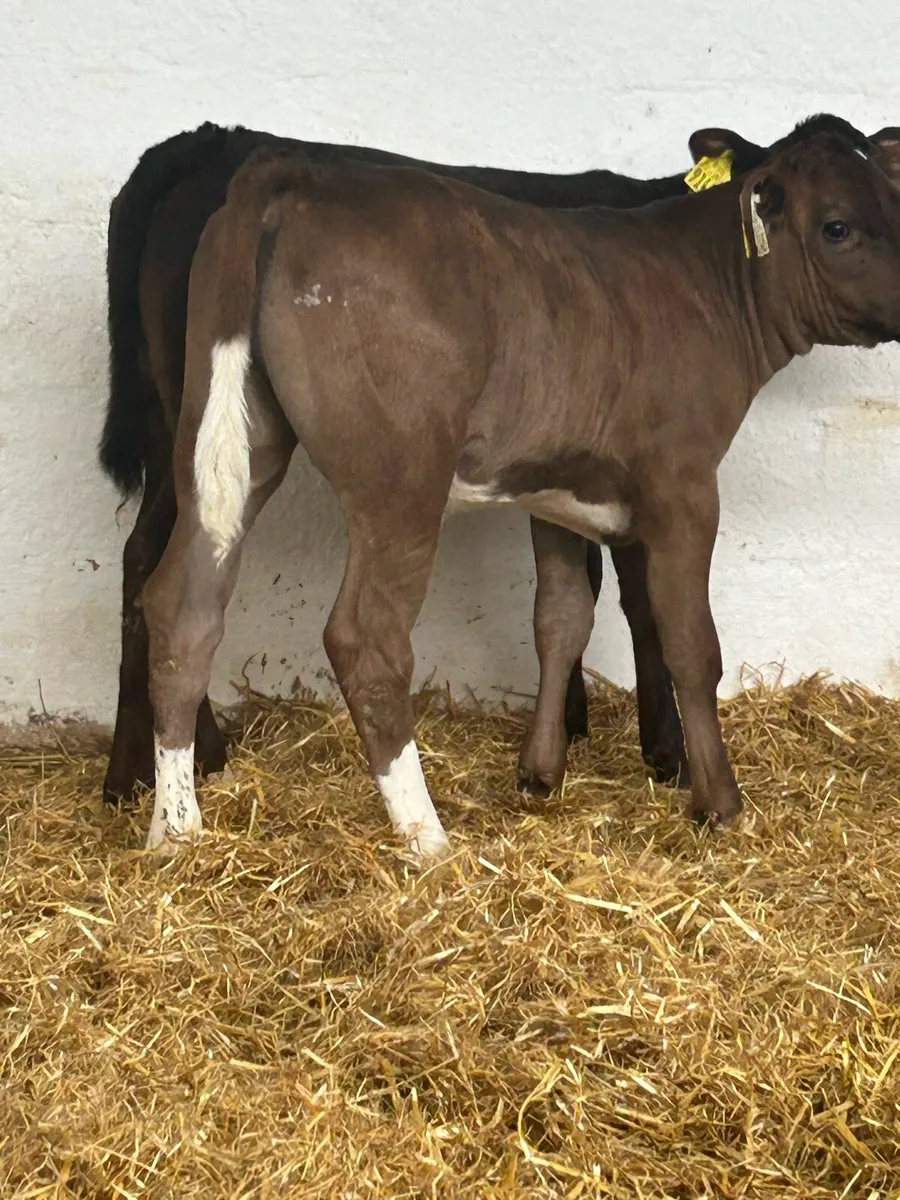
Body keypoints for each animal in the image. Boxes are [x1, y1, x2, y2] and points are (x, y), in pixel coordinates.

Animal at [136, 128, 900, 859]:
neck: (706, 282)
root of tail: (288, 169)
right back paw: (427, 838)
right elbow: (689, 644)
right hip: (401, 479)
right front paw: (719, 803)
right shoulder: (683, 485)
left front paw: (540, 773)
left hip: (229, 441)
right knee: (366, 637)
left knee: (183, 605)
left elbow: (561, 620)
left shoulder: (555, 489)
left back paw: (175, 832)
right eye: (837, 226)